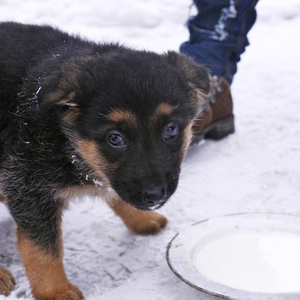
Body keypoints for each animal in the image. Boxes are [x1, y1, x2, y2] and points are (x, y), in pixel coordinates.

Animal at [0, 22, 210, 298]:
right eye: (115, 139)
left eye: (171, 130)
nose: (156, 196)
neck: (66, 140)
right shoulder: (28, 186)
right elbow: (43, 249)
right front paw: (55, 290)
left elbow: (117, 192)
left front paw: (140, 219)